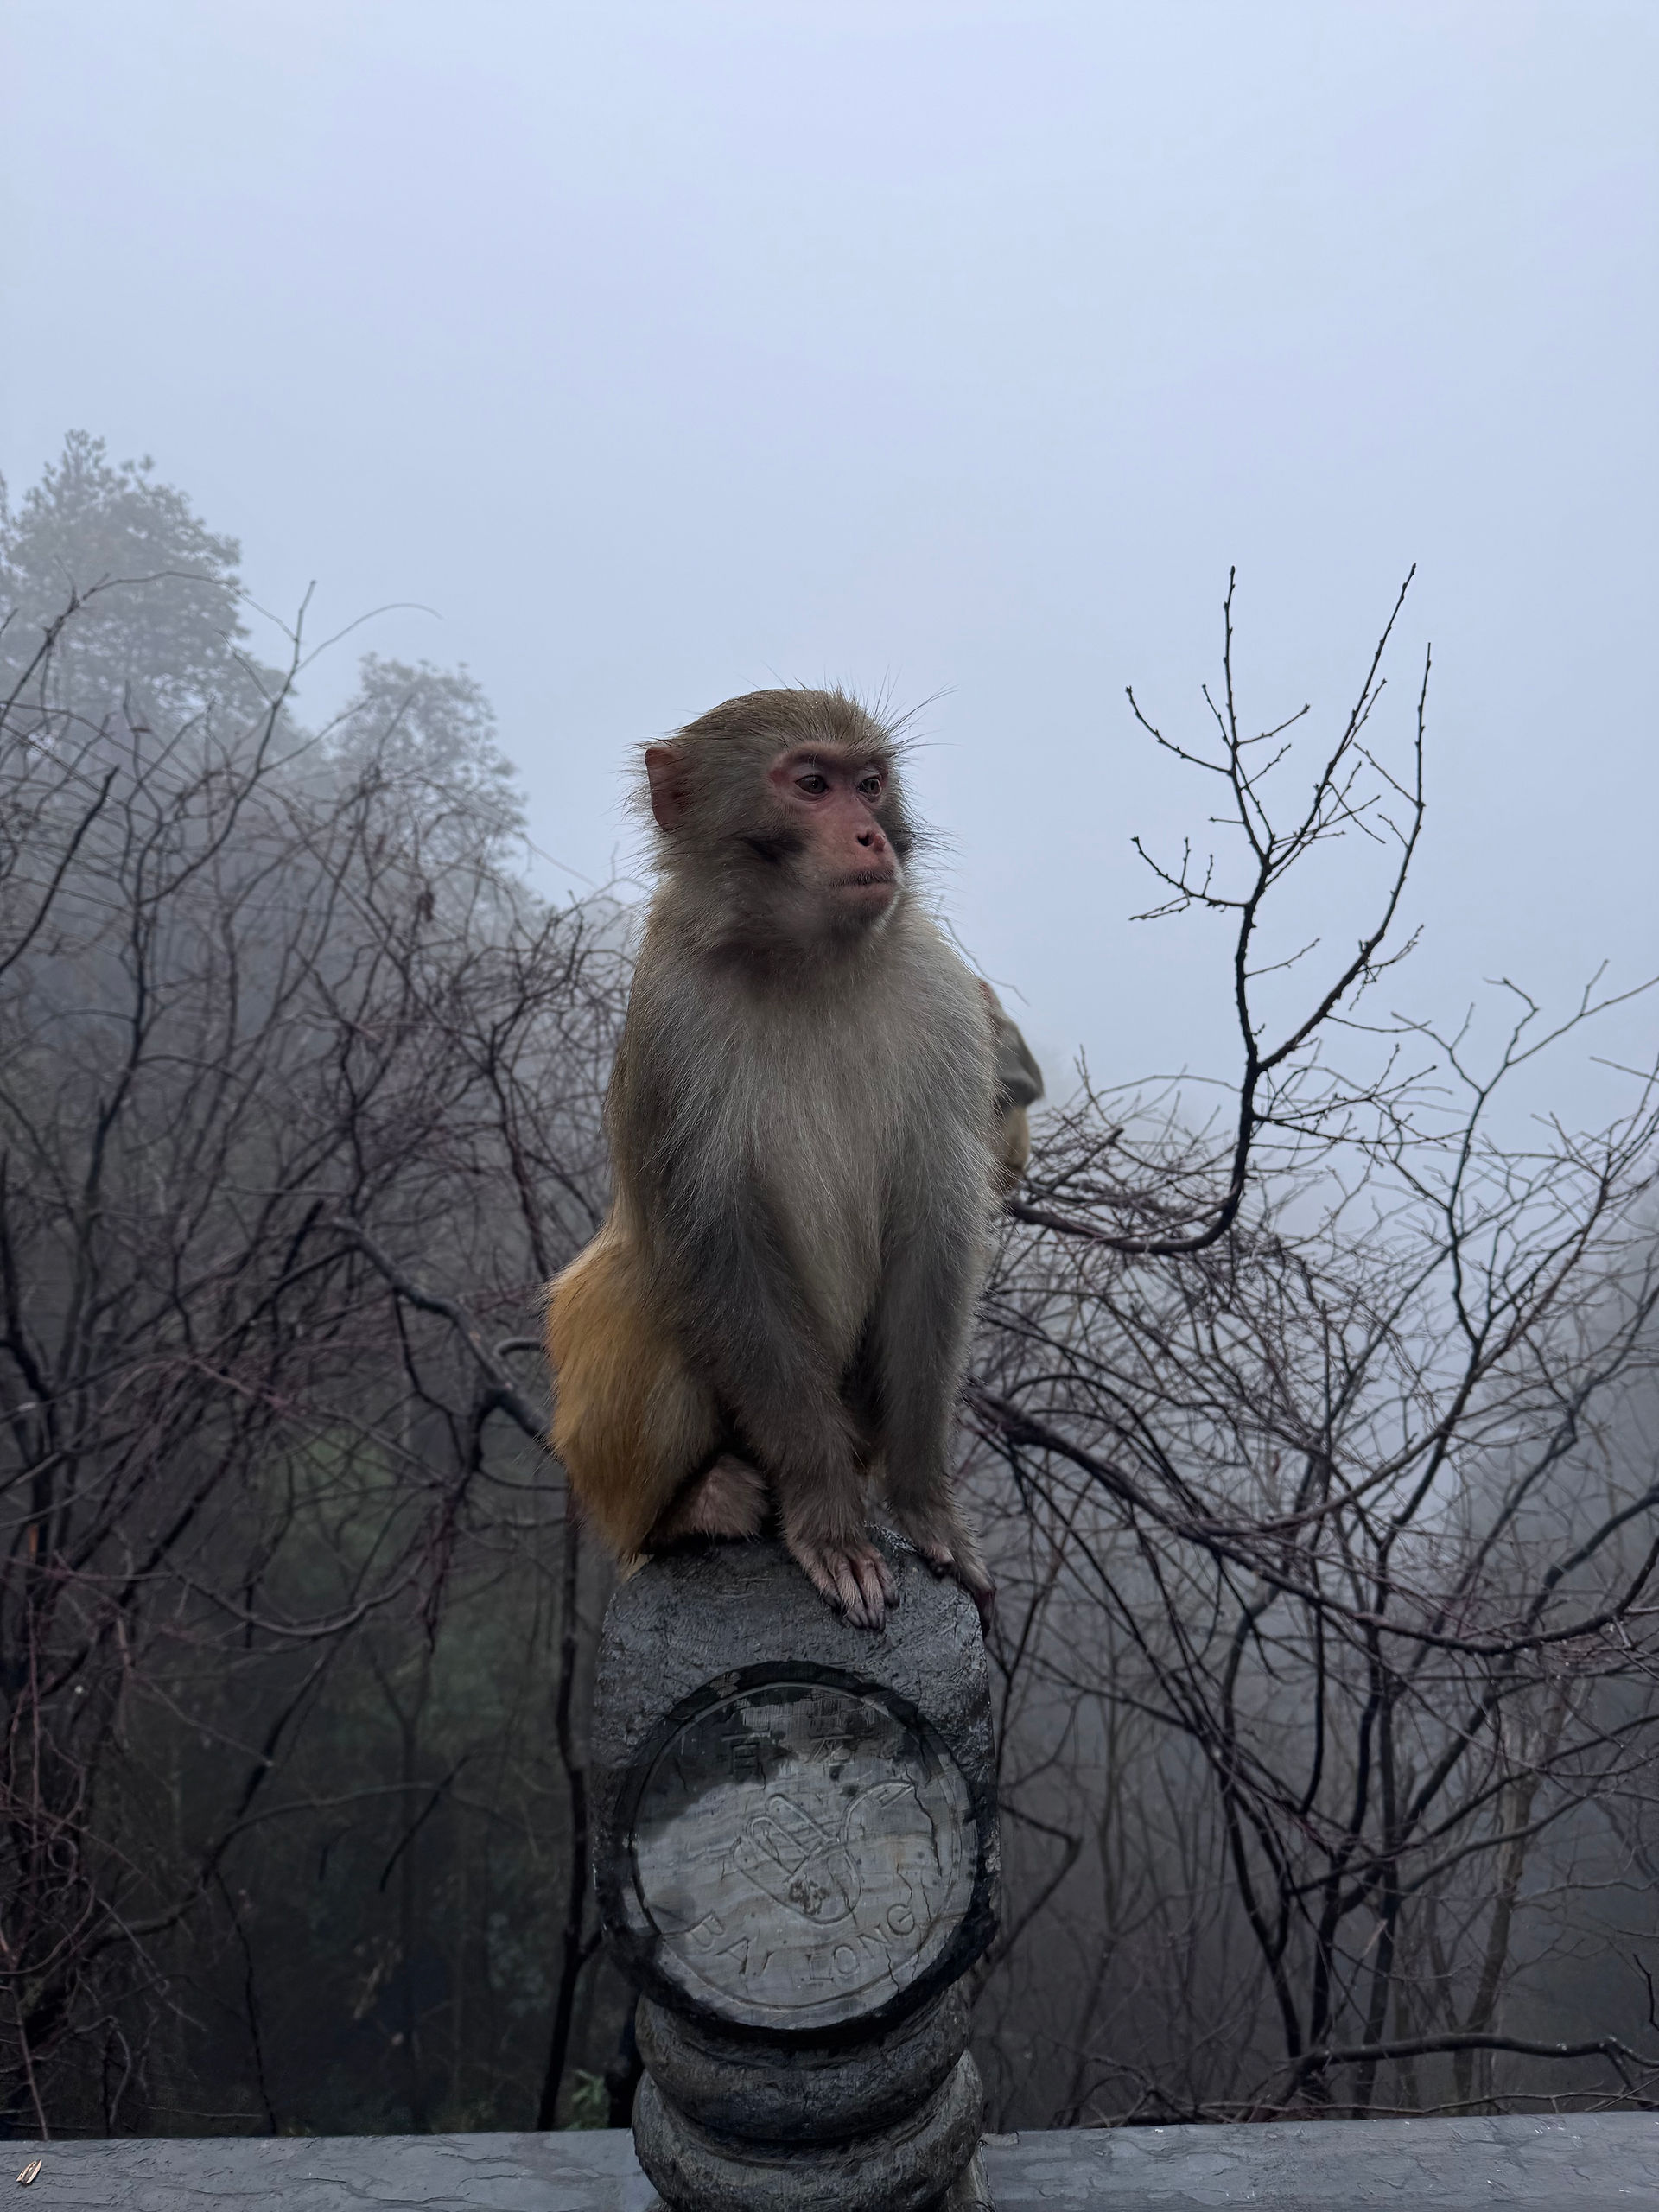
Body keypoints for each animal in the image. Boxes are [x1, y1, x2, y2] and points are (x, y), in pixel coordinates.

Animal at [545, 688, 1042, 1633]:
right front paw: (827, 1516)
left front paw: (925, 1504)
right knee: (634, 1281)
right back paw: (688, 1508)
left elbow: (933, 1231)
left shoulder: (942, 997)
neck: (808, 961)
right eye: (813, 785)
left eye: (870, 784)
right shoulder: (670, 1016)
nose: (870, 834)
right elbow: (720, 1241)